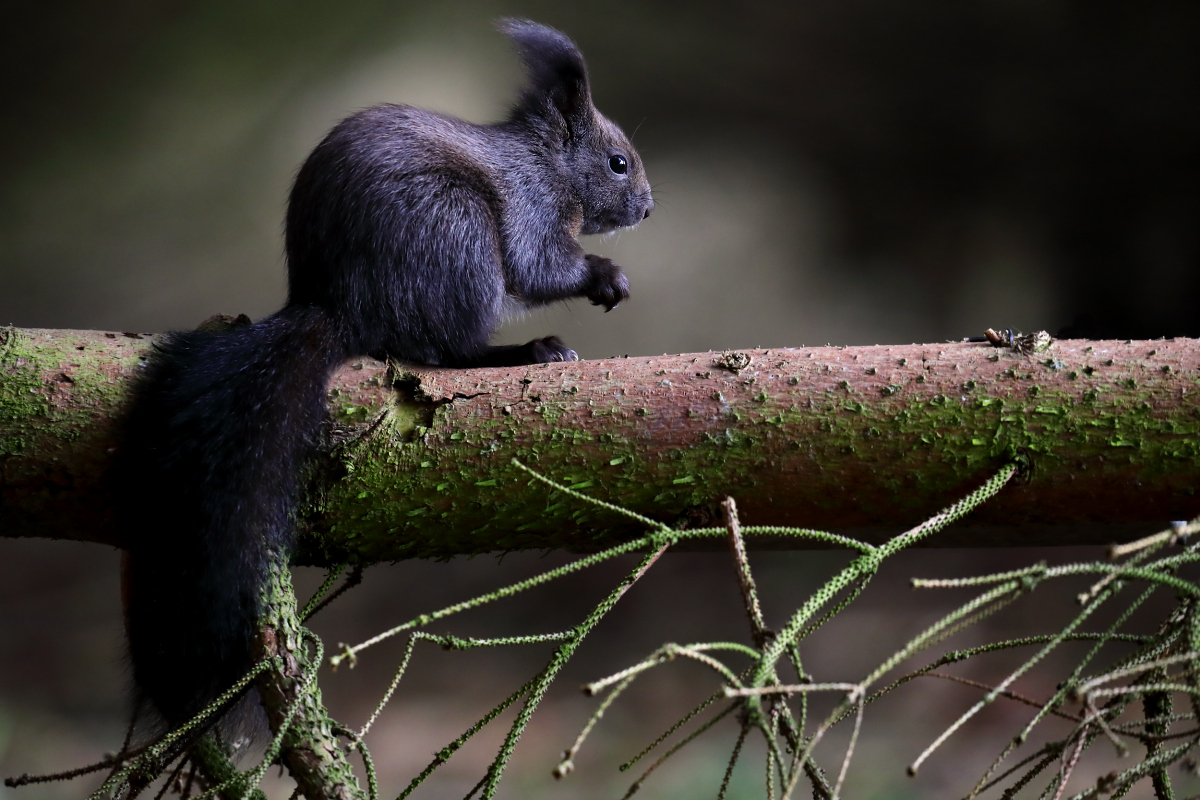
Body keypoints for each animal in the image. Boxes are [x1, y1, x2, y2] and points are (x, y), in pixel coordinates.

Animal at [117, 18, 652, 734]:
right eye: (618, 162)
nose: (647, 208)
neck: (547, 164)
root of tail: (340, 305)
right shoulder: (531, 211)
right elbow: (540, 267)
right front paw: (603, 276)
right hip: (456, 236)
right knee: (443, 350)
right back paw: (525, 351)